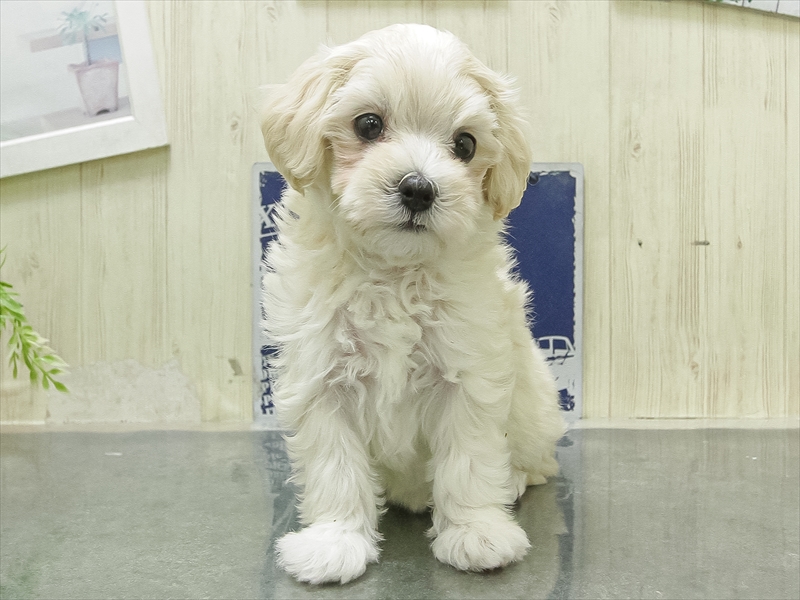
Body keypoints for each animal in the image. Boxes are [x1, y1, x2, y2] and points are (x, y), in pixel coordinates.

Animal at [260, 23, 565, 585]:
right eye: (368, 124)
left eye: (465, 144)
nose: (419, 189)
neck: (394, 271)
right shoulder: (321, 378)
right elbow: (334, 466)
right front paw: (334, 542)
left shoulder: (469, 371)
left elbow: (469, 458)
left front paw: (477, 533)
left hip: (537, 413)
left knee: (539, 461)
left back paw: (515, 479)